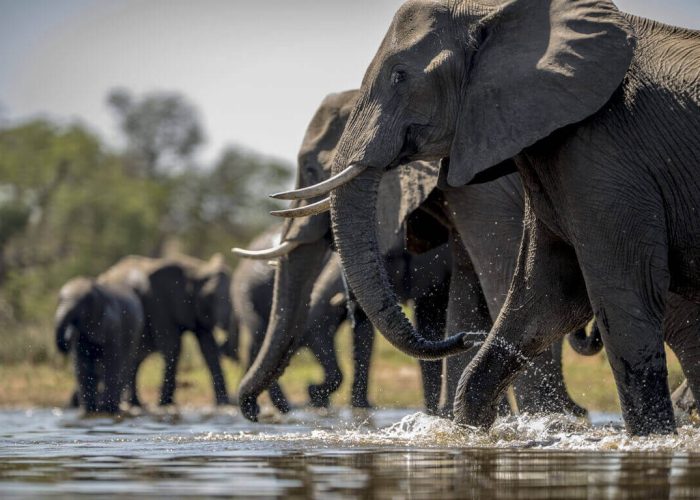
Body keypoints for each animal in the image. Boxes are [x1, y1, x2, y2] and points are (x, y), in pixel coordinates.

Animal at [55, 276, 144, 414]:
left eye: (81, 306)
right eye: (59, 300)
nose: (67, 337)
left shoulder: (113, 325)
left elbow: (112, 363)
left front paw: (107, 409)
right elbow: (82, 366)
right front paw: (88, 410)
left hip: (135, 334)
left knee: (125, 366)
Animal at [99, 254, 233, 406]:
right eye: (209, 296)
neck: (197, 270)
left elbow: (209, 349)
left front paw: (223, 403)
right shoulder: (159, 302)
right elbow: (172, 346)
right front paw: (165, 403)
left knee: (135, 360)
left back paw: (135, 403)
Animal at [236, 89, 592, 421]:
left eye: (311, 170)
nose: (254, 412)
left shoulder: (483, 192)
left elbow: (501, 281)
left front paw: (542, 419)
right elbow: (463, 293)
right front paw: (451, 420)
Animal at [284, 0, 700, 434]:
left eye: (399, 75)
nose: (468, 338)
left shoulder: (602, 156)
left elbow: (616, 292)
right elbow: (544, 293)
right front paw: (471, 429)